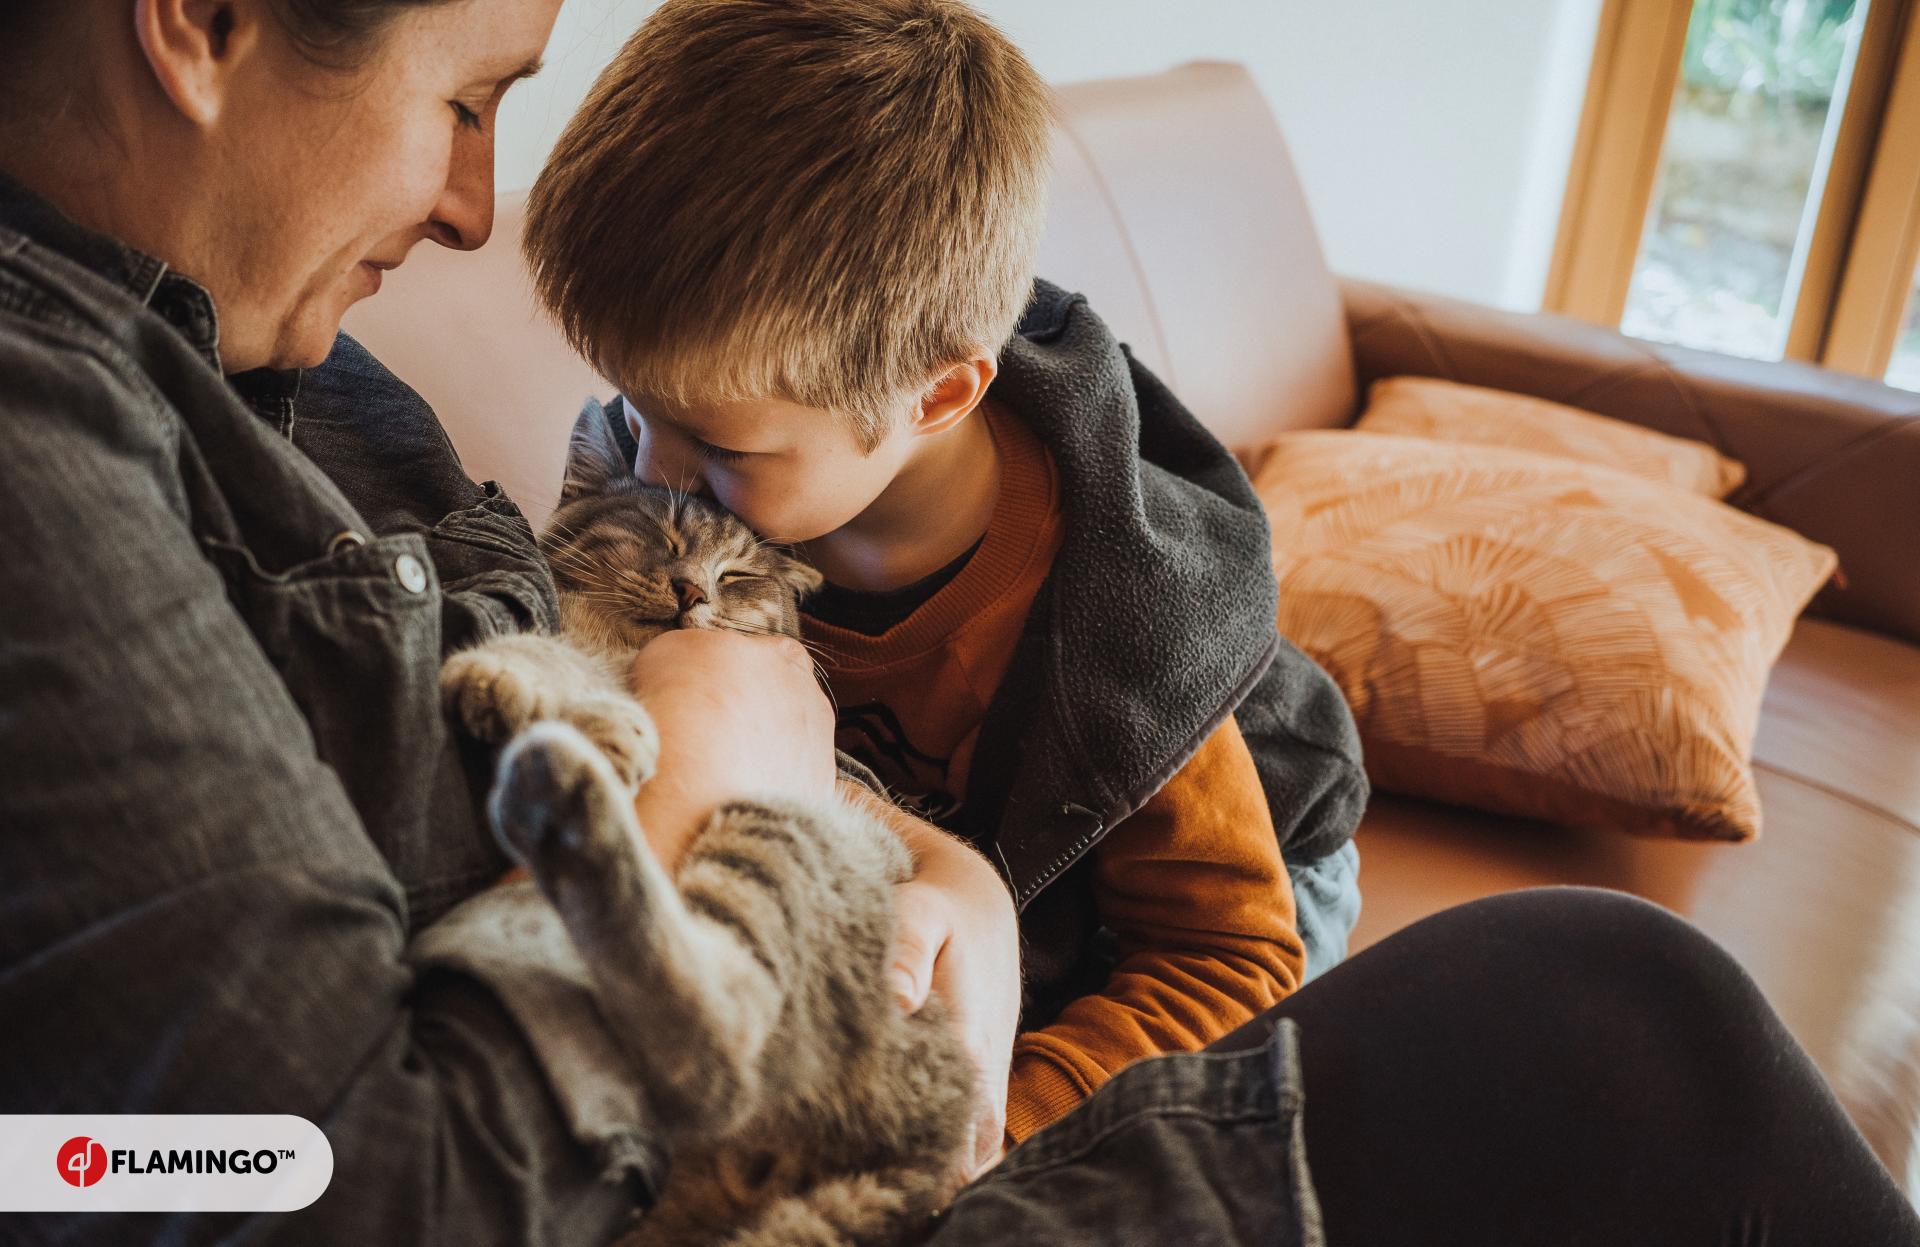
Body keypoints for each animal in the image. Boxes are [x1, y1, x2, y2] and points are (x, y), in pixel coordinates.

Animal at [435, 403, 975, 1245]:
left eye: (741, 576)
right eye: (667, 536)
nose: (691, 591)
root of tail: (929, 1144)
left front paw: (606, 726)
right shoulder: (574, 633)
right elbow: (549, 649)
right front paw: (510, 679)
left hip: (782, 828)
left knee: (725, 1047)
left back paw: (564, 803)